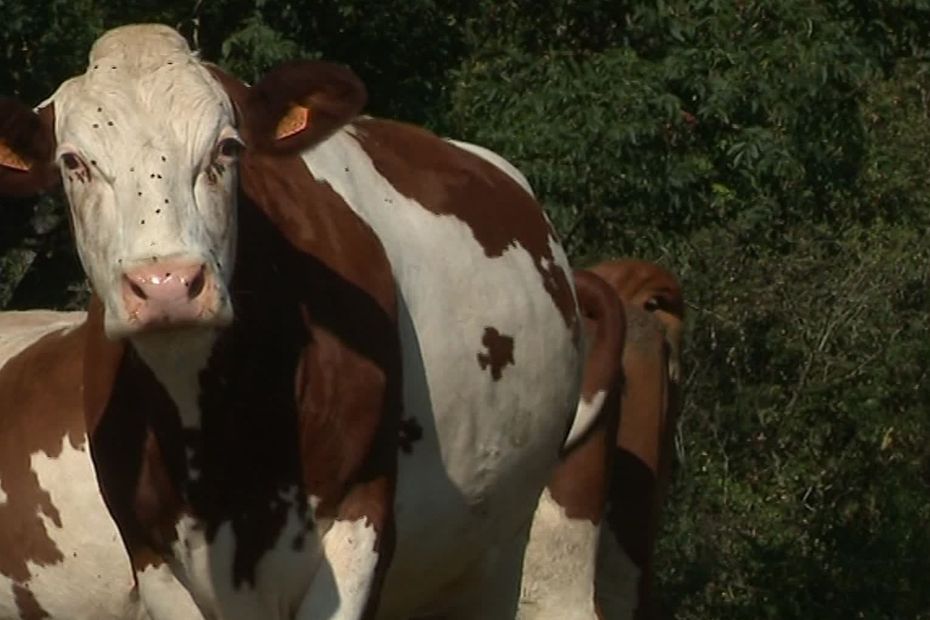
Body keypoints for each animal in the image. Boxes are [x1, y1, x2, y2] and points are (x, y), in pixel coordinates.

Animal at [0, 24, 624, 620]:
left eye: (228, 148)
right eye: (73, 162)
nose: (167, 285)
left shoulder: (358, 519)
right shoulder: (150, 551)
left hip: (532, 556)